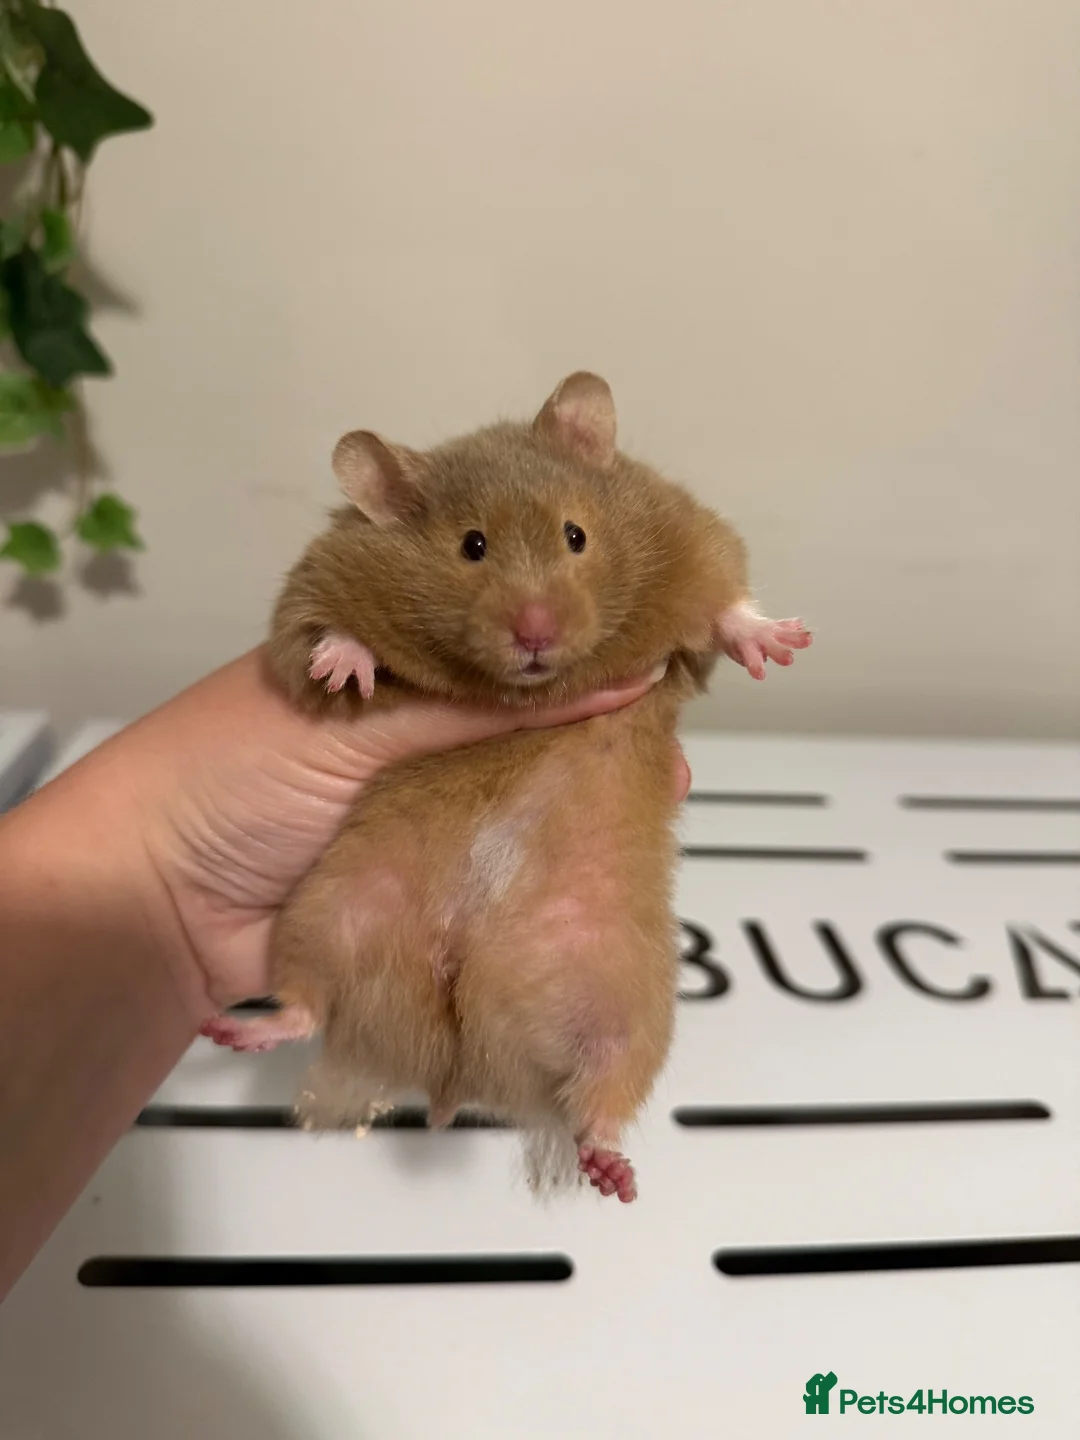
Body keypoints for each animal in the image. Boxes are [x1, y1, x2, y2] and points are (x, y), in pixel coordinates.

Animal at [201, 372, 811, 1201]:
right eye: (473, 545)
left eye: (576, 535)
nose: (535, 634)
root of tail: (453, 1057)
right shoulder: (313, 587)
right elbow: (320, 638)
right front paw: (345, 669)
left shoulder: (694, 542)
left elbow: (724, 605)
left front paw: (781, 645)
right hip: (324, 914)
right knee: (304, 1005)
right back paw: (234, 1030)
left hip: (631, 1000)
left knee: (600, 1093)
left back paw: (613, 1173)